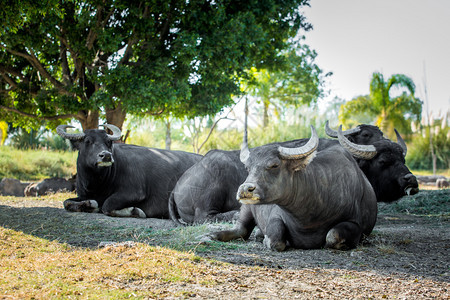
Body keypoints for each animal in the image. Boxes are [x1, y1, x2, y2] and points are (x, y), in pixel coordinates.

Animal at [57, 124, 201, 218]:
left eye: (108, 142)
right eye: (87, 141)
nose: (106, 155)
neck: (98, 183)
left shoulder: (134, 192)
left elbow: (107, 205)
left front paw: (136, 211)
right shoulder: (83, 194)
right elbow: (66, 202)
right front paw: (89, 205)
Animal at [206, 126, 378, 251]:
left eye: (274, 165)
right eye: (248, 167)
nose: (244, 190)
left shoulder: (356, 224)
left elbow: (332, 236)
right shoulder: (276, 215)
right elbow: (275, 240)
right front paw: (267, 239)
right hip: (247, 208)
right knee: (241, 229)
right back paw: (211, 235)